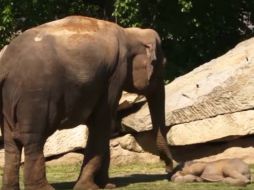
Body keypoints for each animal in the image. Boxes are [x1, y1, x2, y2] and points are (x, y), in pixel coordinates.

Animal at [0, 16, 173, 190]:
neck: (130, 33)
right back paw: (45, 188)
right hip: (36, 97)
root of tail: (6, 65)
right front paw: (89, 186)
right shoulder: (115, 74)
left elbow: (104, 126)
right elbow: (101, 122)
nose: (169, 171)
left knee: (11, 142)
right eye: (162, 64)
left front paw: (108, 185)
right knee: (33, 139)